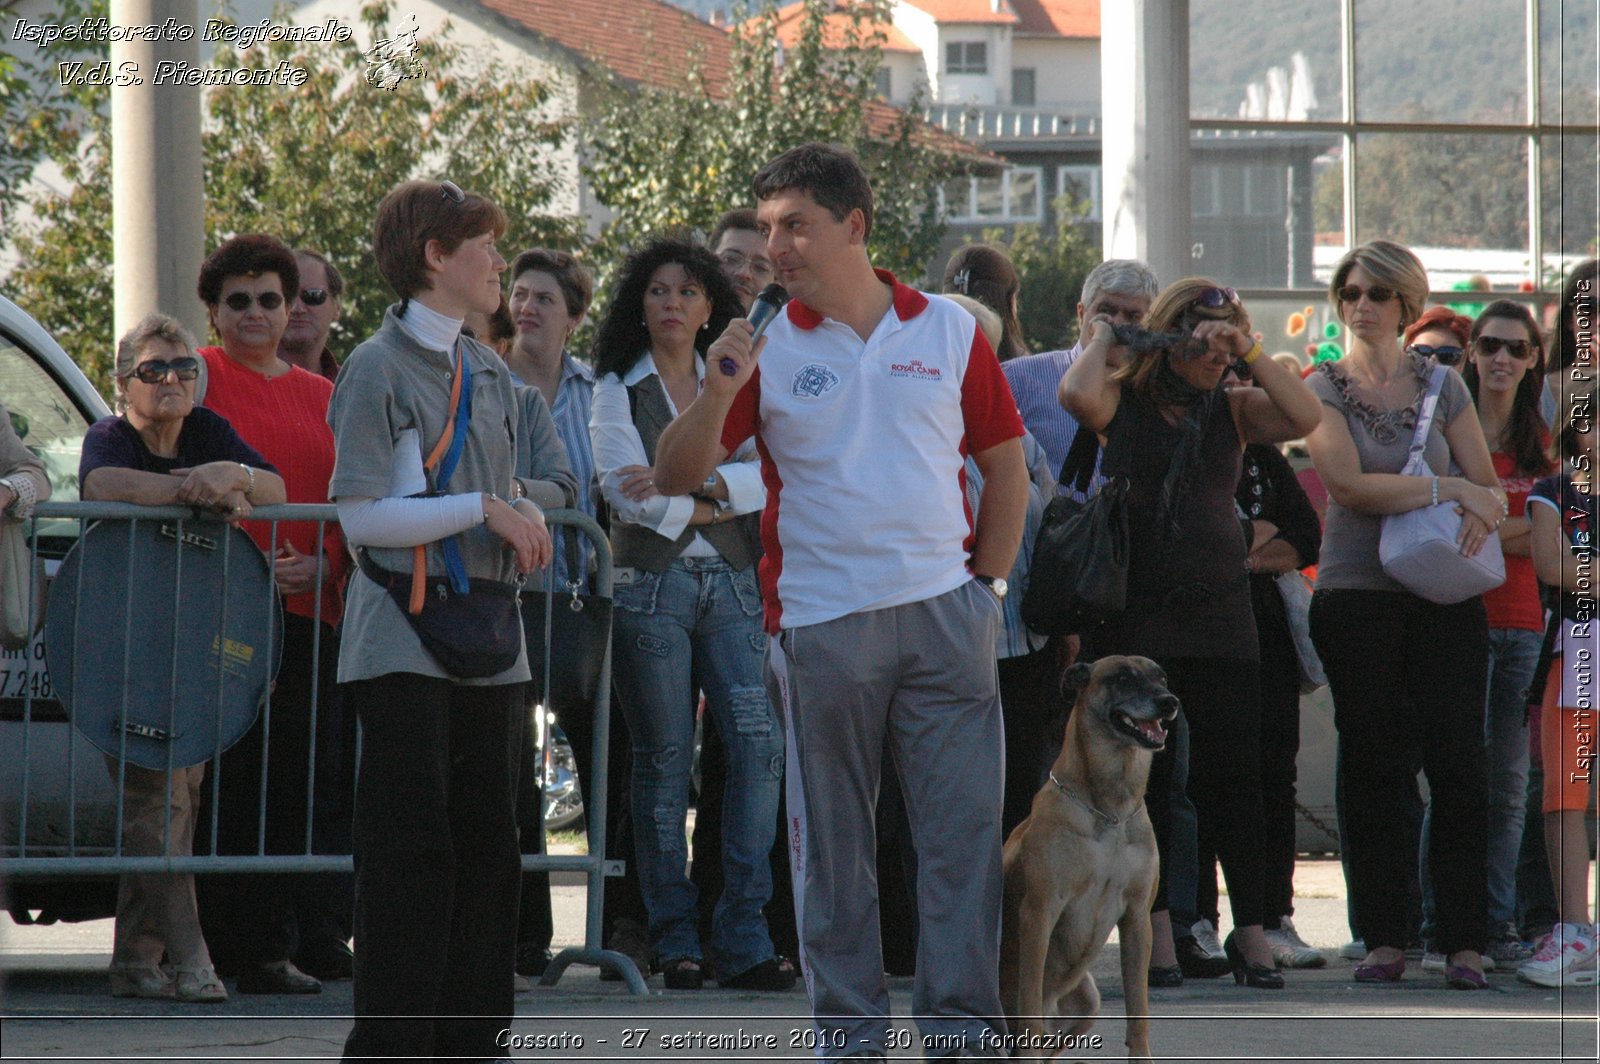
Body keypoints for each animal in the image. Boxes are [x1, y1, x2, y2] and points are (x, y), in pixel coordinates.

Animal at [998, 652, 1177, 1056]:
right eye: (1122, 677)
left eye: (1161, 677)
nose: (1169, 702)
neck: (1108, 808)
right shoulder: (1040, 912)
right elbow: (1029, 1009)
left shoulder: (1137, 918)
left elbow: (1138, 1015)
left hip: (1085, 1005)